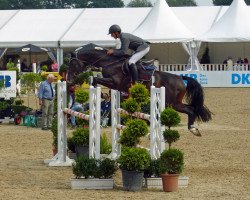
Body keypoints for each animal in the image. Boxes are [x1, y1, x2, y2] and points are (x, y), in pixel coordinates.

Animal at [66, 43, 211, 136]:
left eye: (72, 63)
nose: (69, 80)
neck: (109, 62)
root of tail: (181, 78)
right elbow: (97, 80)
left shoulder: (114, 82)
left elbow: (96, 79)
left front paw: (96, 87)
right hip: (174, 103)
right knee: (191, 108)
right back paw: (193, 128)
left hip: (172, 103)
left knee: (190, 110)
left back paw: (193, 129)